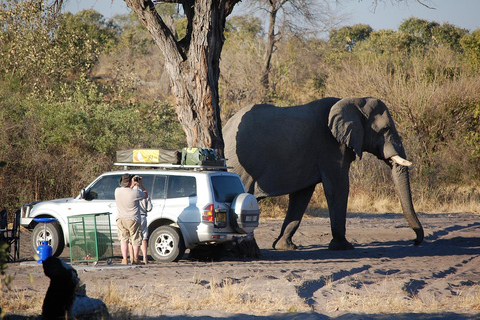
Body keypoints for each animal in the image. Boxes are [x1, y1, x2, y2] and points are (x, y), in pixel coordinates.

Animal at [222, 96, 424, 251]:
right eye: (385, 130)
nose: (415, 241)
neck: (354, 101)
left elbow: (302, 195)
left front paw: (284, 247)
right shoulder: (332, 149)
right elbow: (338, 188)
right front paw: (344, 247)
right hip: (239, 165)